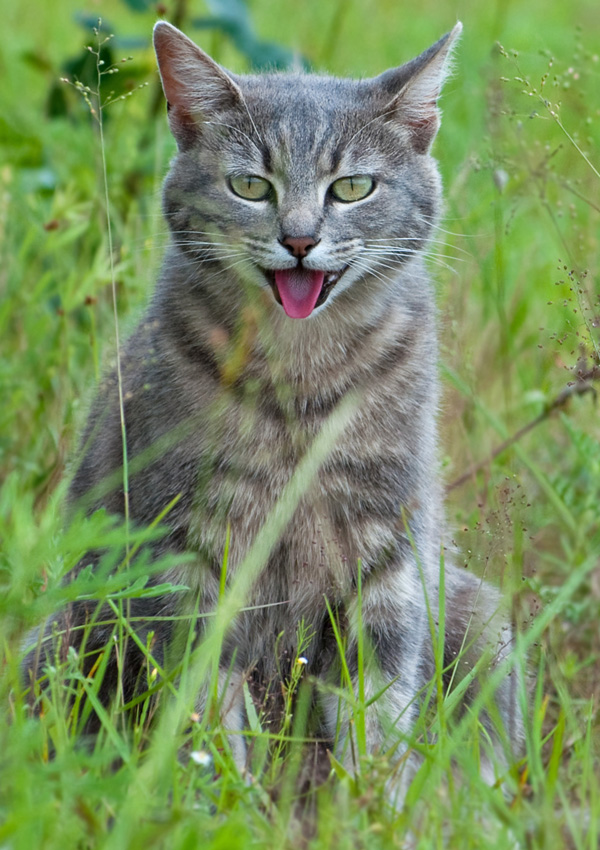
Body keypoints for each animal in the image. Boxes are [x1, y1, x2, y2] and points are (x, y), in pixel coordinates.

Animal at [24, 19, 520, 800]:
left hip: (482, 621)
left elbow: (377, 712)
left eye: (352, 187)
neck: (301, 379)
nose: (299, 238)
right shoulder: (188, 555)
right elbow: (201, 716)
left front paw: (371, 807)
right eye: (251, 185)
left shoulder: (386, 555)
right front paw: (218, 803)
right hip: (62, 632)